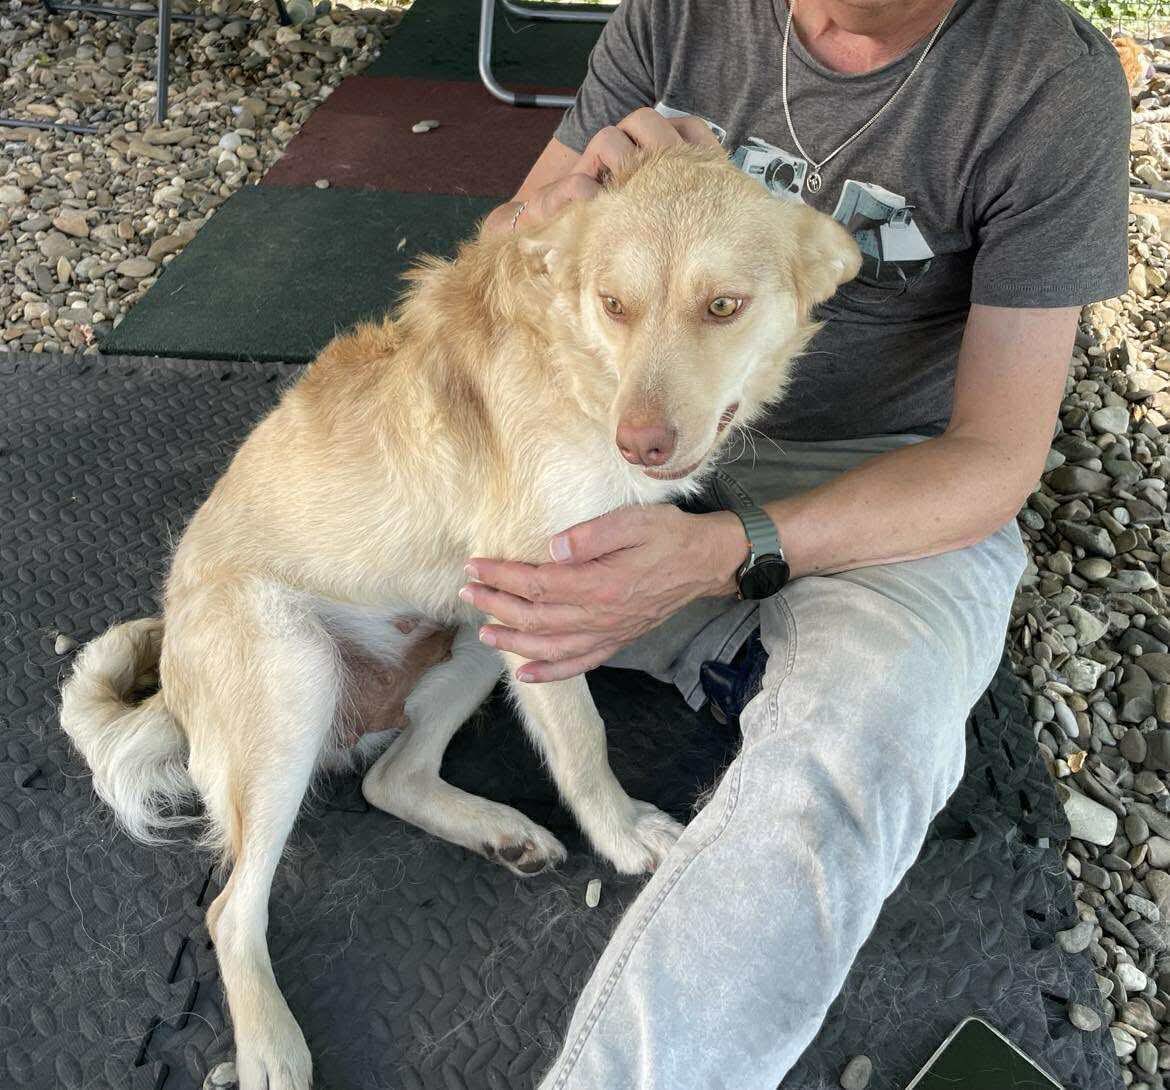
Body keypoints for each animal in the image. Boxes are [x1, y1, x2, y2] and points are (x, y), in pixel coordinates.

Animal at [60, 143, 861, 1090]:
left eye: (723, 306)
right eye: (615, 305)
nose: (642, 444)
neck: (581, 372)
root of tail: (174, 691)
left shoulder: (532, 614)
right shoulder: (546, 600)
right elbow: (582, 740)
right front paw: (623, 832)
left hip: (477, 631)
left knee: (391, 778)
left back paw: (497, 832)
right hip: (294, 671)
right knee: (228, 909)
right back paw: (270, 1045)